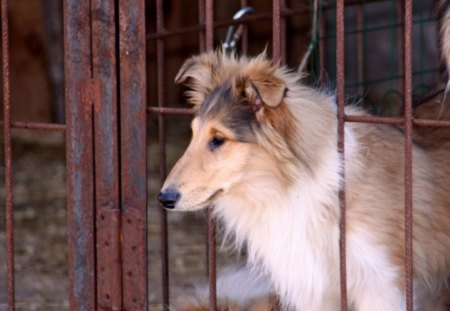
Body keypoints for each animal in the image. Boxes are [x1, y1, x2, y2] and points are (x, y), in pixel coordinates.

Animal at [159, 14, 450, 311]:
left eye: (218, 140)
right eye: (193, 134)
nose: (164, 198)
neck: (292, 189)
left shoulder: (382, 285)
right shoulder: (312, 287)